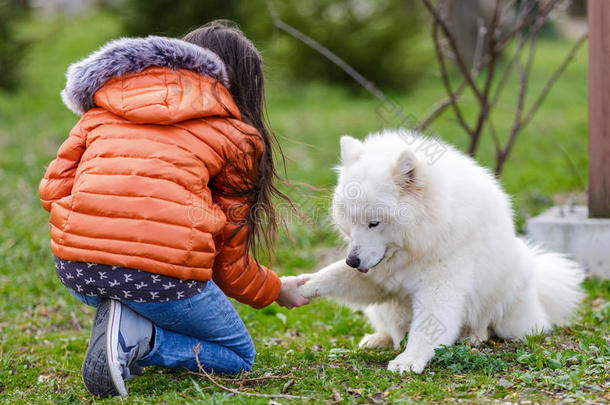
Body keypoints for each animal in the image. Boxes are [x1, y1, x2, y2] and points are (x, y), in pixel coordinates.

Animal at [296, 129, 580, 372]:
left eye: (374, 223)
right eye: (349, 221)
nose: (352, 261)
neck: (419, 243)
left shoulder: (439, 285)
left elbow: (426, 329)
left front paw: (409, 360)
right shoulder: (380, 279)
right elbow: (331, 274)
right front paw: (301, 286)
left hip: (506, 301)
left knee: (489, 324)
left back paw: (474, 336)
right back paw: (380, 338)